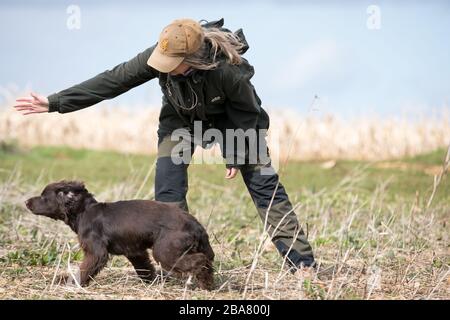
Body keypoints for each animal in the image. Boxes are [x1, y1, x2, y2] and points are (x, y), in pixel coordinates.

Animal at [24, 180, 214, 290]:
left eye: (43, 197)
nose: (26, 202)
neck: (83, 212)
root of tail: (196, 224)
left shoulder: (96, 252)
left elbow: (84, 269)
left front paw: (73, 284)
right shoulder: (135, 251)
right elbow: (144, 269)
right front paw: (152, 283)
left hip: (165, 250)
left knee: (200, 260)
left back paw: (203, 283)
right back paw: (208, 284)